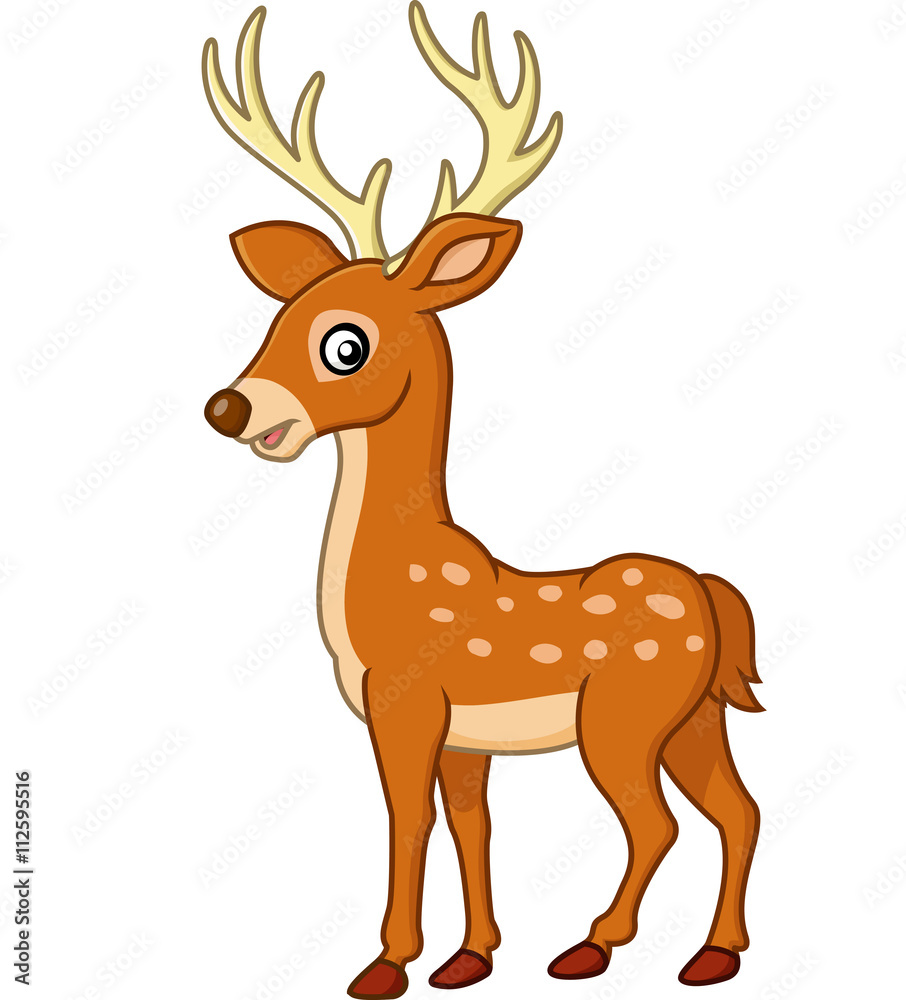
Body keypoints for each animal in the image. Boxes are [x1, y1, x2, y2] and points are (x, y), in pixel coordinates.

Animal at [202, 5, 763, 997]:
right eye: (276, 319)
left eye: (345, 343)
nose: (230, 407)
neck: (389, 586)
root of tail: (709, 594)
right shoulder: (467, 738)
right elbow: (473, 823)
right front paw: (468, 958)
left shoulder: (407, 699)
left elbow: (407, 819)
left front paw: (385, 963)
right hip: (695, 714)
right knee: (739, 809)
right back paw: (713, 955)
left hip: (623, 715)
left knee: (658, 821)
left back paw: (592, 946)